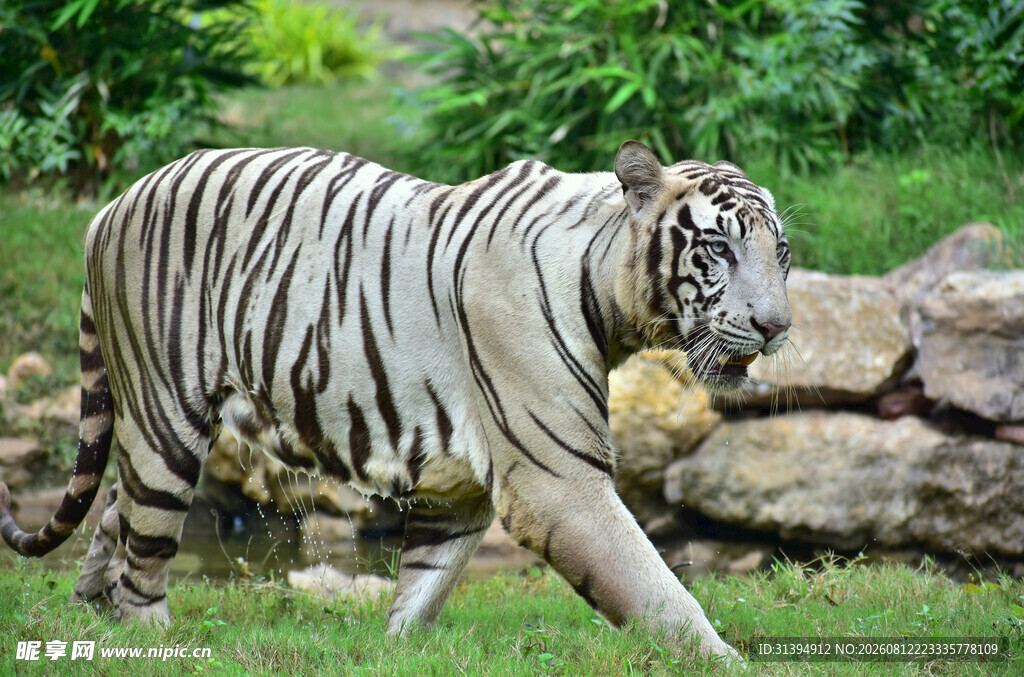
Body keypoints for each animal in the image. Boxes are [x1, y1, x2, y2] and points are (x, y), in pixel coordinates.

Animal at [0, 140, 790, 662]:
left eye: (780, 253)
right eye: (719, 249)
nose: (777, 325)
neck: (610, 292)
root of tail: (110, 206)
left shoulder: (464, 484)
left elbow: (425, 583)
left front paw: (397, 647)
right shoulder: (557, 481)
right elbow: (655, 587)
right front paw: (724, 661)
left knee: (113, 516)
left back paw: (86, 624)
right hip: (167, 417)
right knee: (143, 555)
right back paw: (147, 638)